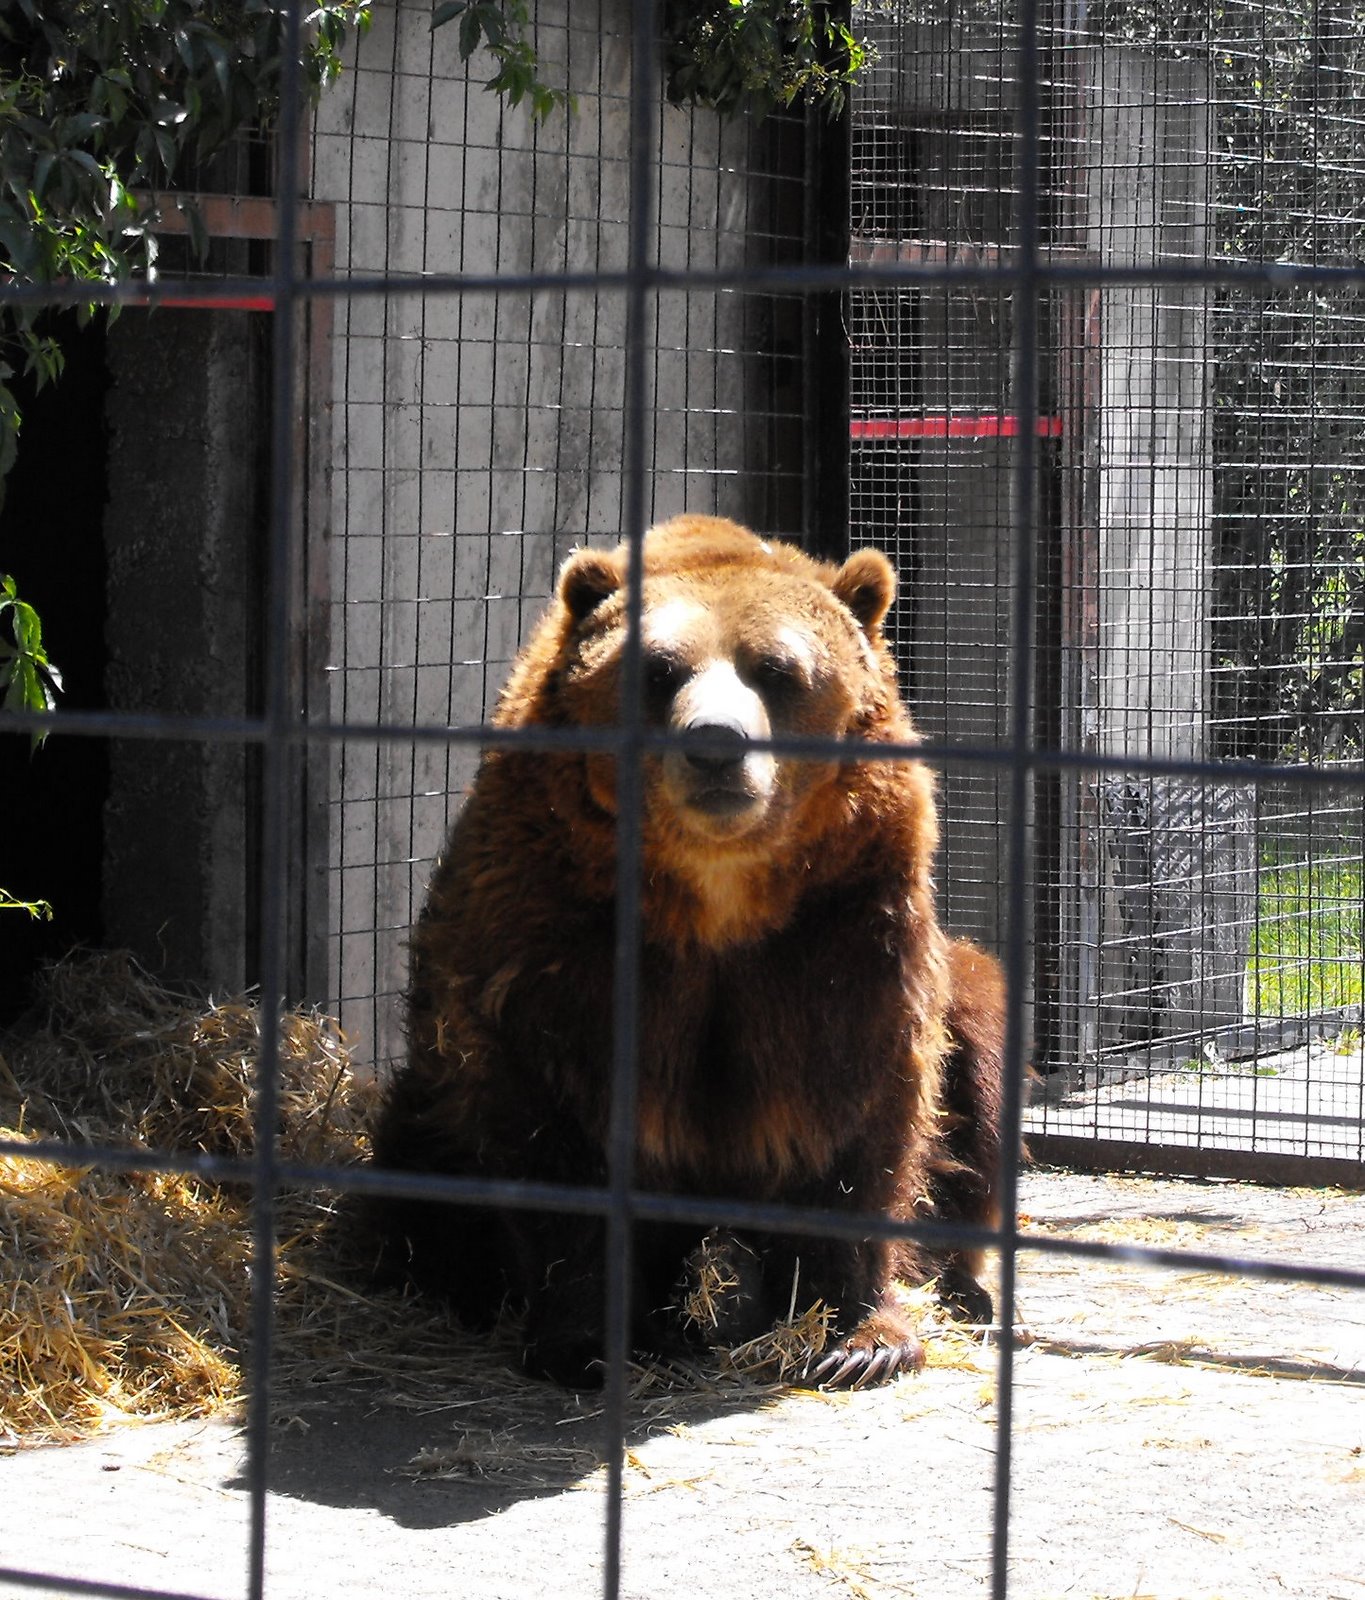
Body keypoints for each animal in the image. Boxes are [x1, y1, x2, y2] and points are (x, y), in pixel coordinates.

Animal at [369, 514, 1008, 1389]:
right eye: (659, 668)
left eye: (777, 669)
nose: (714, 744)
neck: (716, 897)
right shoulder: (558, 929)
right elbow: (556, 1118)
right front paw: (587, 1340)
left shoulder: (843, 923)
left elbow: (857, 1104)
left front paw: (859, 1338)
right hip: (430, 1105)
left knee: (978, 1067)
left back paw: (962, 1286)